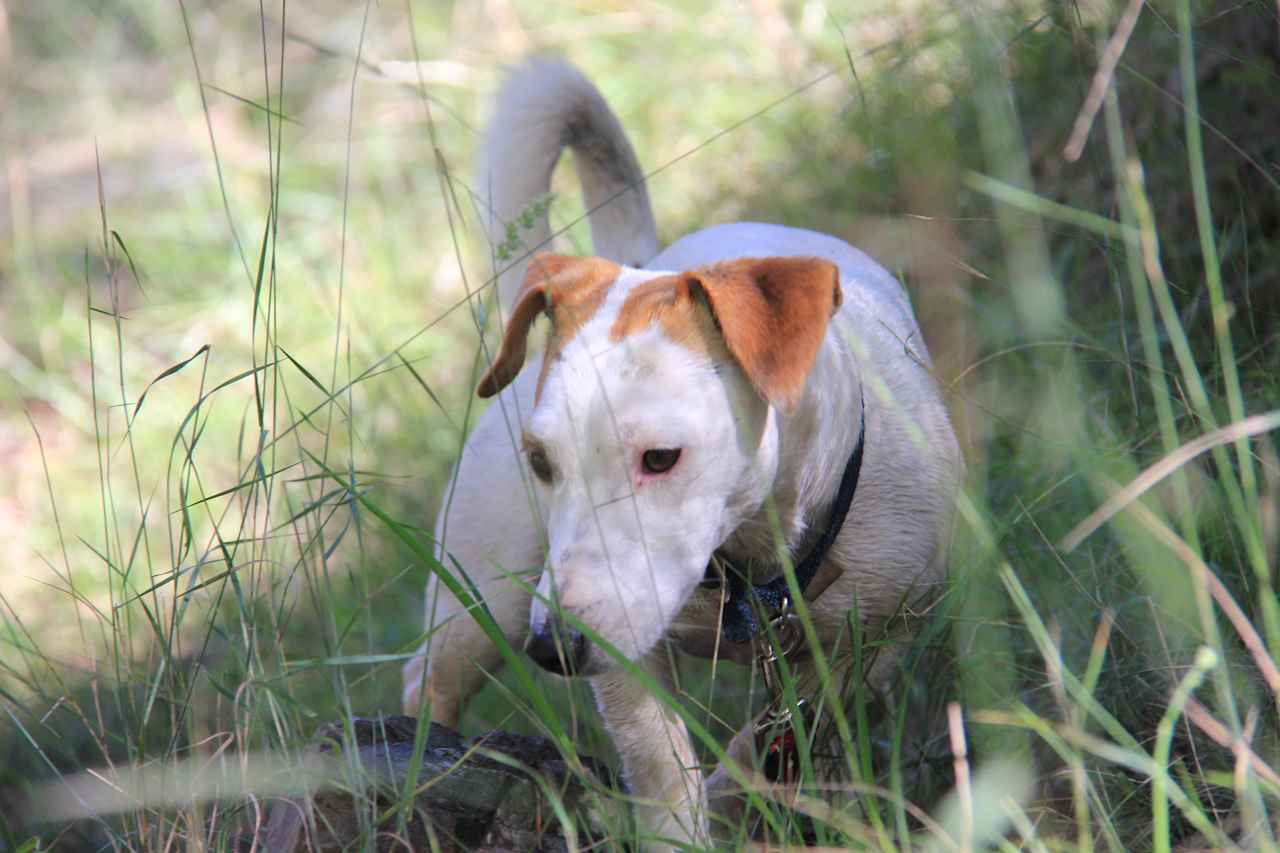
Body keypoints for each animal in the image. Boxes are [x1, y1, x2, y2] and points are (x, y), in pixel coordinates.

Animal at [401, 58, 962, 845]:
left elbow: (772, 741)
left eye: (661, 458)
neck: (751, 571)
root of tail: (640, 260)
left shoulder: (878, 633)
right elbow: (664, 769)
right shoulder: (627, 655)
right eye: (542, 461)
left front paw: (742, 791)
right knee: (431, 679)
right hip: (486, 592)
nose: (555, 647)